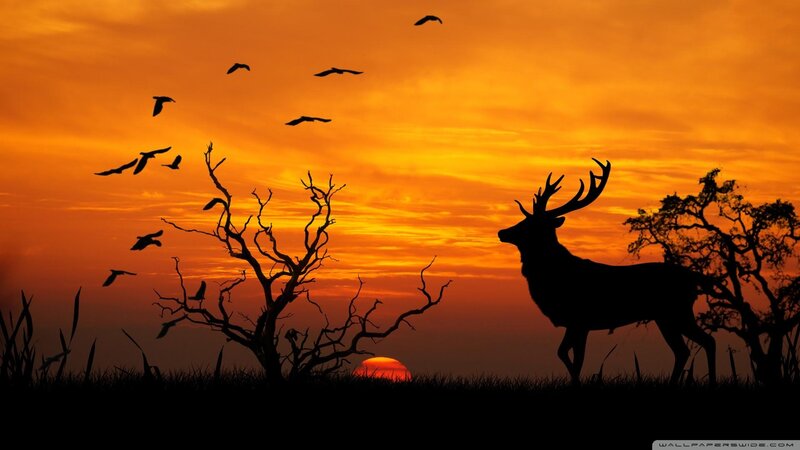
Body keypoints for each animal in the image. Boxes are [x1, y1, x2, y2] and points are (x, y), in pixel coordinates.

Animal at [498, 159, 716, 385]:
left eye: (530, 224)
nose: (502, 232)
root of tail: (694, 278)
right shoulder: (575, 323)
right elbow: (566, 355)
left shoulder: (580, 319)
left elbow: (574, 359)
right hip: (667, 316)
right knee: (685, 350)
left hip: (677, 311)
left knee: (705, 342)